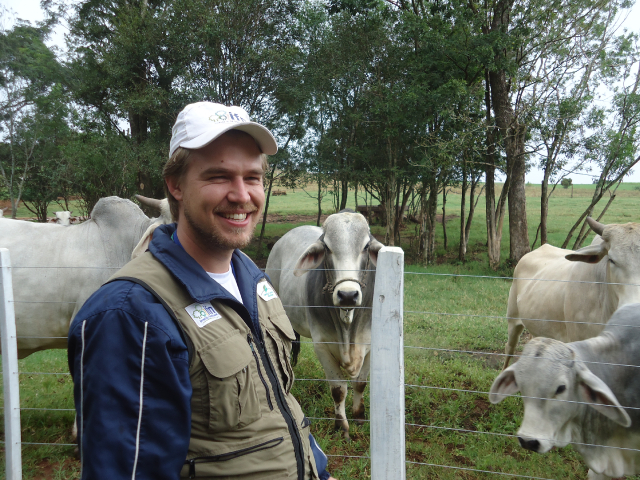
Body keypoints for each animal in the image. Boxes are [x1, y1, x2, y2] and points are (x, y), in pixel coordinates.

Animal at [265, 210, 384, 439]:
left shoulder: (370, 344)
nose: (348, 295)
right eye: (327, 247)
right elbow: (338, 390)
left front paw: (359, 417)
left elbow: (360, 384)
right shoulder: (322, 346)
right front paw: (342, 427)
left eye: (366, 246)